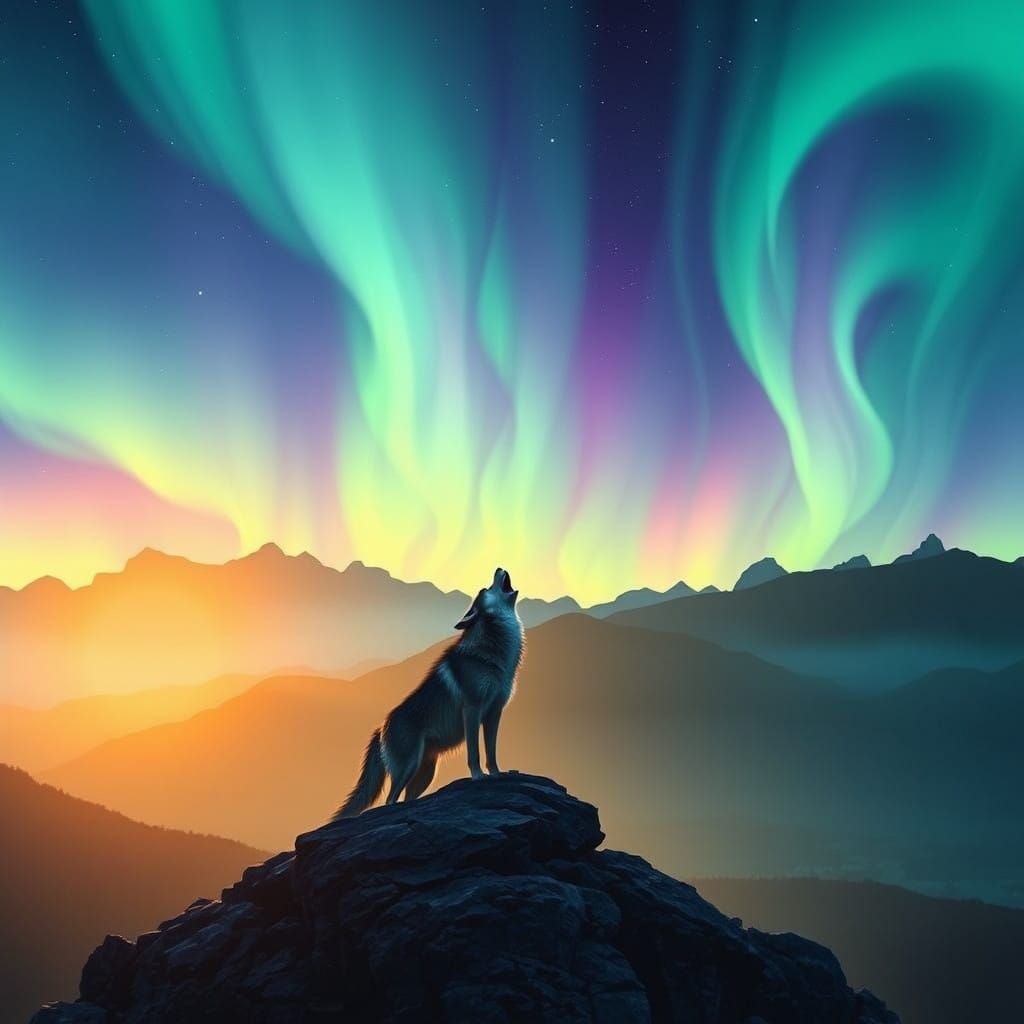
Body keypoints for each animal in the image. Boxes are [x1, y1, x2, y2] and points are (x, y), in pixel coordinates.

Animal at [333, 567, 524, 818]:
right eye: (486, 589)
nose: (499, 567)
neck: (492, 654)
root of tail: (380, 728)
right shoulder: (472, 710)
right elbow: (474, 753)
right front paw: (478, 777)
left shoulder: (494, 713)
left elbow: (491, 753)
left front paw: (497, 774)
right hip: (409, 767)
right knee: (390, 800)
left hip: (424, 774)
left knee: (405, 799)